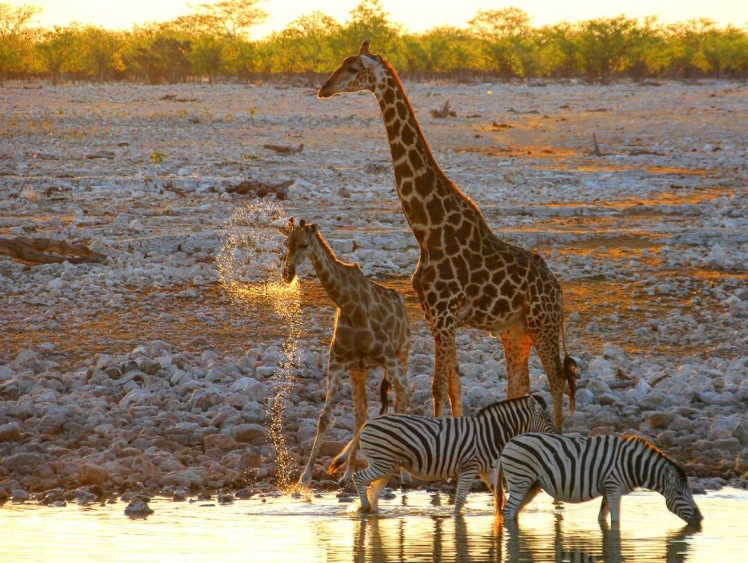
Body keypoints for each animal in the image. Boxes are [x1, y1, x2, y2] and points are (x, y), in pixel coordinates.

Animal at [278, 218, 412, 486]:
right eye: (286, 243)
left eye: (304, 244)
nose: (287, 275)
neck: (351, 306)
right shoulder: (340, 362)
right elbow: (325, 418)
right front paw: (305, 477)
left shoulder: (388, 358)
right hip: (361, 370)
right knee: (363, 413)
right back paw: (348, 473)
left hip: (400, 356)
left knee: (401, 400)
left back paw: (401, 473)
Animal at [318, 40, 576, 432]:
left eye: (352, 68)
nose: (324, 88)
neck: (428, 228)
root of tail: (558, 289)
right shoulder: (435, 314)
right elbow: (454, 386)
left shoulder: (443, 313)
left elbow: (439, 387)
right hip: (514, 330)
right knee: (519, 385)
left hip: (542, 322)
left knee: (557, 378)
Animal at [328, 396, 556, 516]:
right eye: (547, 419)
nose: (556, 435)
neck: (492, 434)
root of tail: (368, 422)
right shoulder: (469, 467)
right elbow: (461, 497)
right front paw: (456, 517)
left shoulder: (487, 470)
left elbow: (499, 494)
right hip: (382, 463)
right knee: (359, 478)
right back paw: (365, 508)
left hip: (387, 464)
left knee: (374, 490)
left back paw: (373, 512)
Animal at [496, 434, 700, 528]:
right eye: (680, 493)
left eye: (690, 493)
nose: (700, 519)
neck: (631, 464)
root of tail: (509, 443)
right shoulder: (613, 487)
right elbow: (616, 520)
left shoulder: (608, 489)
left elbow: (602, 517)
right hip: (520, 481)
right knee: (508, 511)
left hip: (531, 485)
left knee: (513, 513)